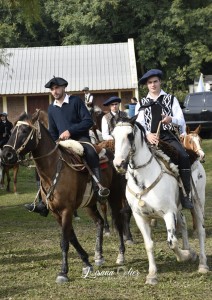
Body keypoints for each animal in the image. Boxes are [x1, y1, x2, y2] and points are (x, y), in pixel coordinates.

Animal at [1, 110, 126, 284]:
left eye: (25, 131)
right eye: (12, 131)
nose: (6, 154)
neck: (53, 169)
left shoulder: (67, 210)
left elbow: (64, 241)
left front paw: (63, 272)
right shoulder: (56, 213)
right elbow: (71, 237)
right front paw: (86, 262)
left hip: (114, 196)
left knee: (119, 223)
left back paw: (121, 255)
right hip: (89, 204)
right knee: (100, 222)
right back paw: (99, 255)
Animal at [112, 118, 209, 284]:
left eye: (130, 135)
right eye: (113, 135)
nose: (118, 163)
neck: (144, 177)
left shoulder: (169, 213)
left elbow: (172, 242)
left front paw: (186, 256)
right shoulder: (140, 217)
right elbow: (149, 245)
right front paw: (152, 275)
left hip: (197, 203)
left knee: (200, 231)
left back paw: (202, 264)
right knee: (184, 224)